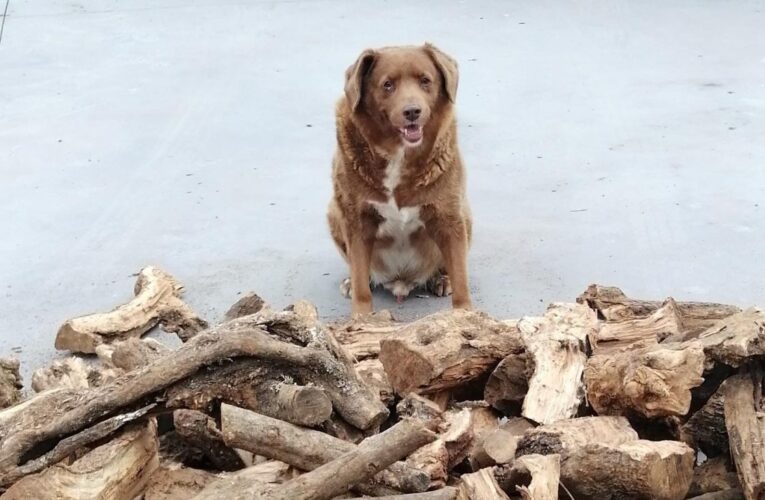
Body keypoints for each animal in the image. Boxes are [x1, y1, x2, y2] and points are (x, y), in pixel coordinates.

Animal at [324, 44, 468, 316]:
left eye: (425, 81)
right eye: (387, 85)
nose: (412, 111)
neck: (398, 154)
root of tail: (401, 281)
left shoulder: (449, 216)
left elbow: (461, 279)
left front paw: (466, 316)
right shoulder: (356, 220)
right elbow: (361, 282)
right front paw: (361, 317)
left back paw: (441, 279)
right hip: (334, 213)